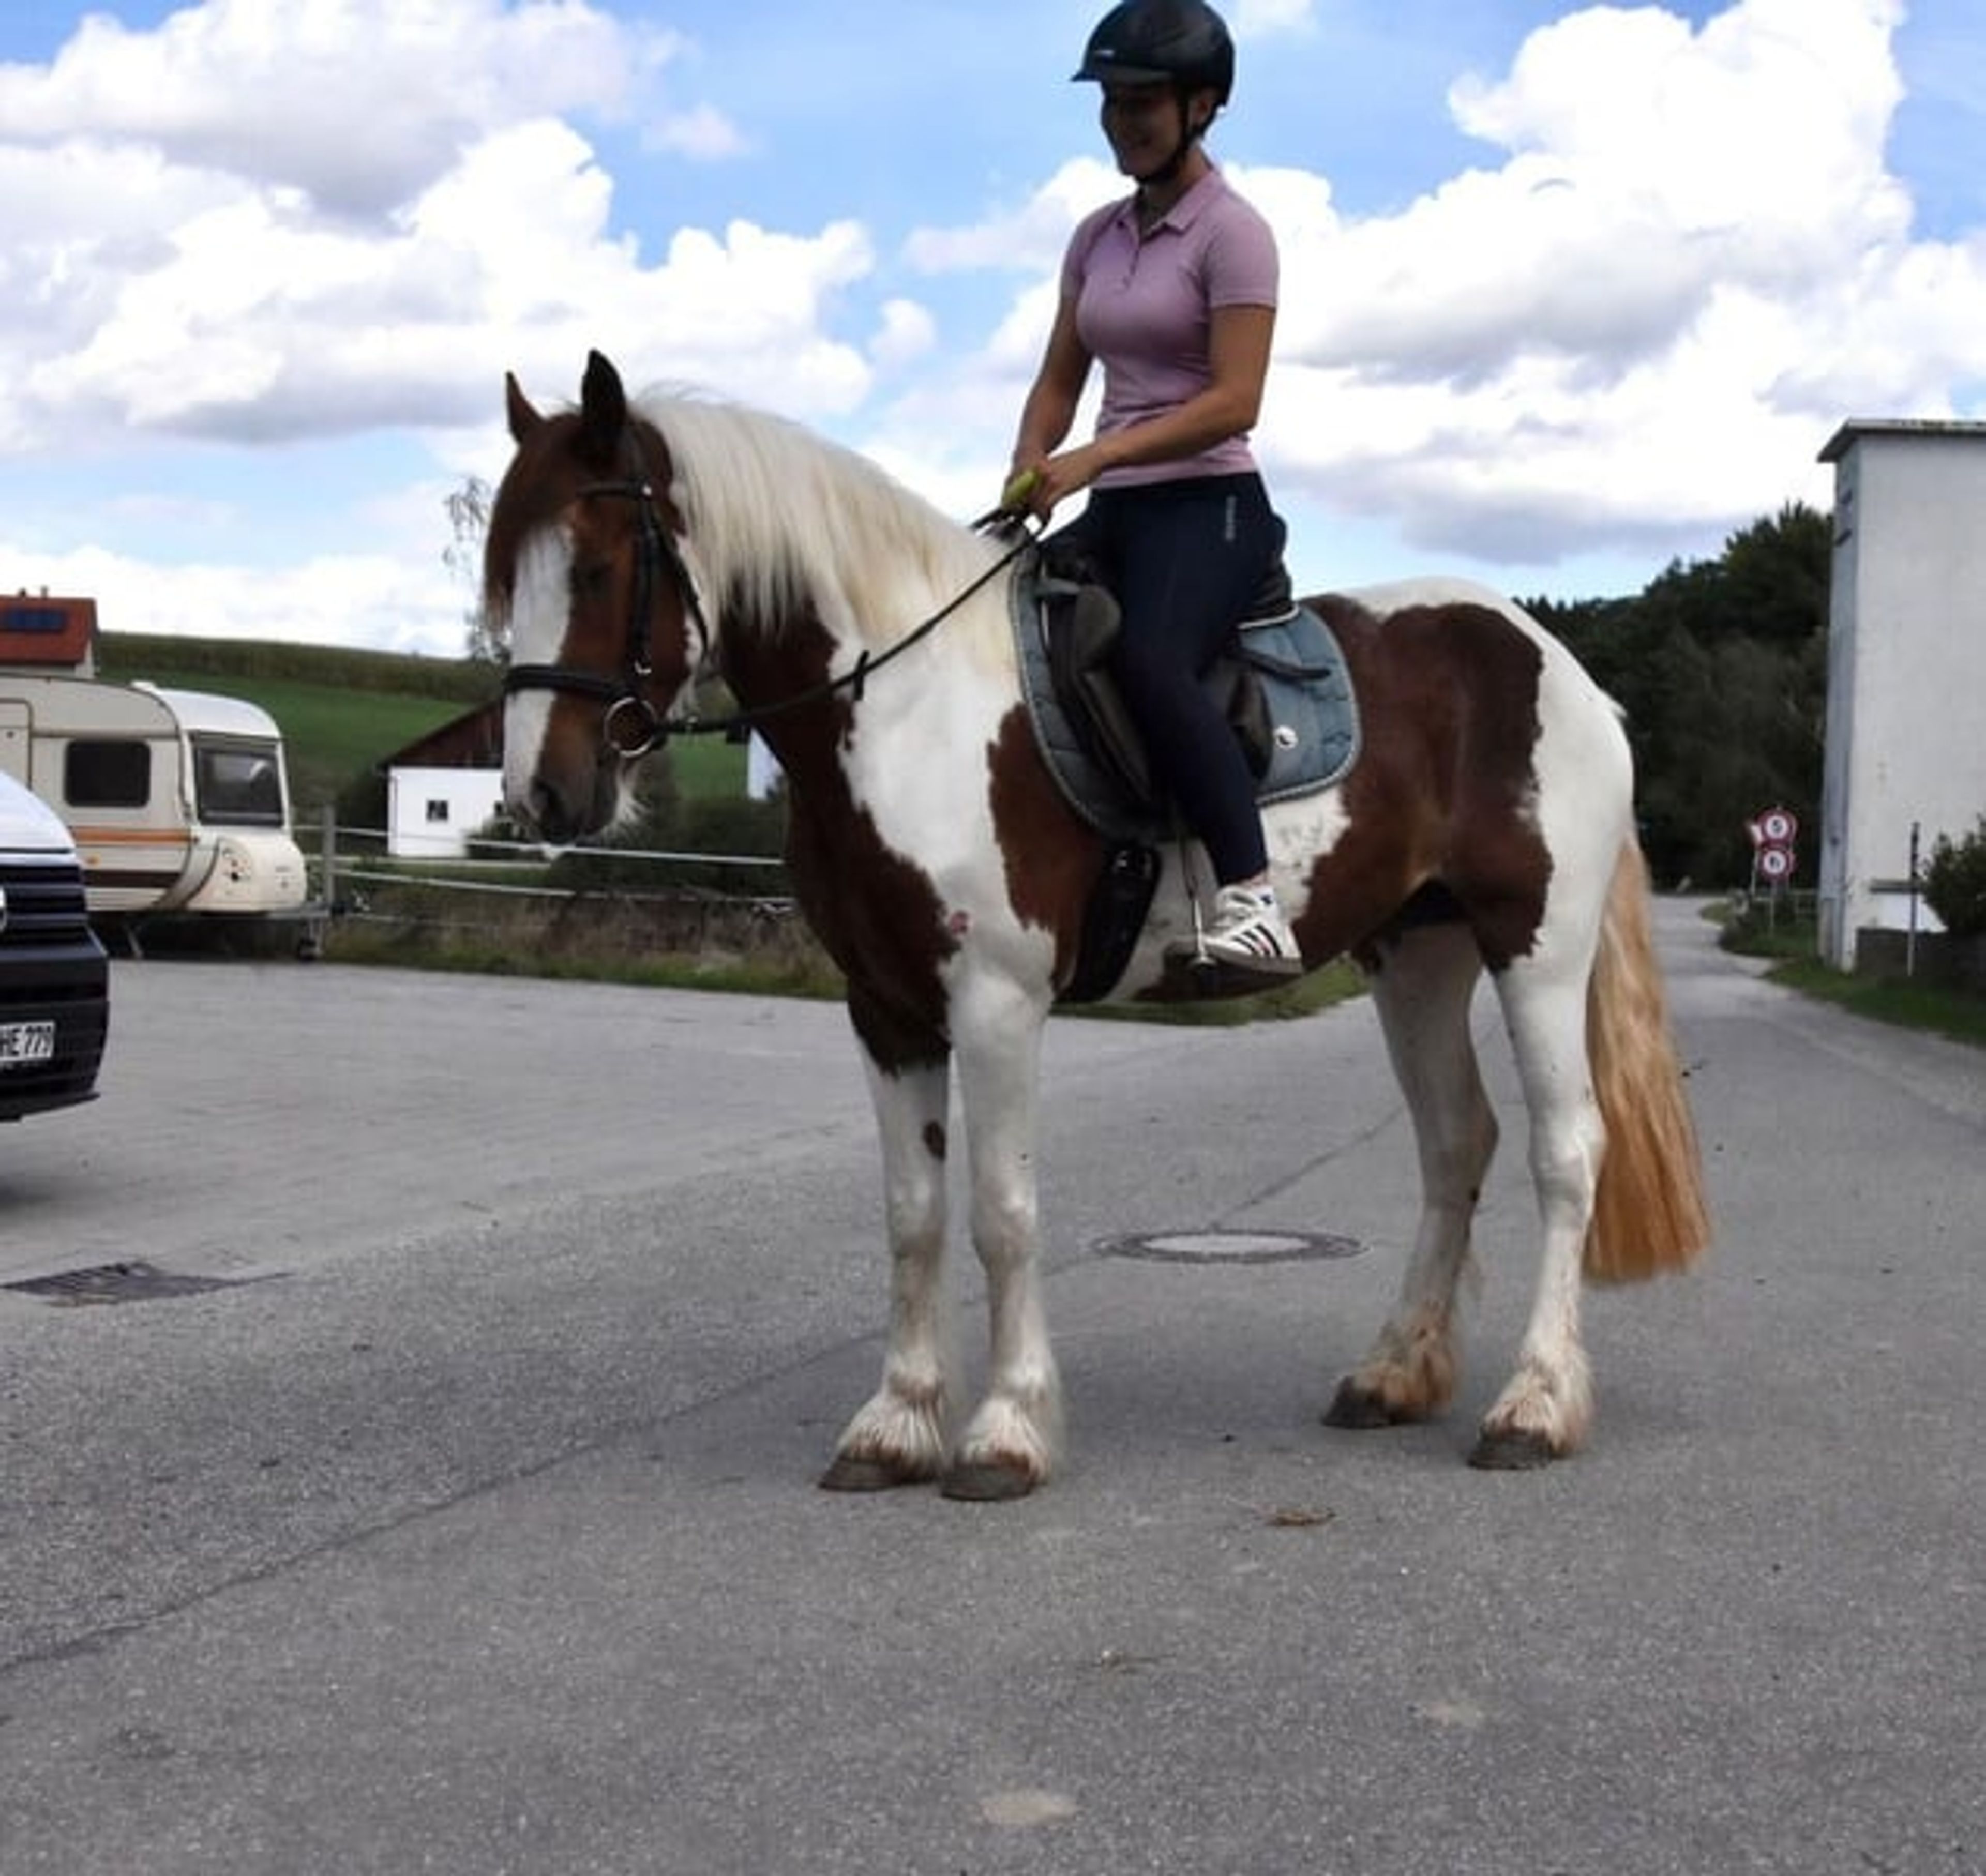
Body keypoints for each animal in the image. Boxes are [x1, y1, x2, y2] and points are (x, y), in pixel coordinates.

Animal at [488, 348, 1710, 1499]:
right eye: (508, 580)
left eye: (598, 567)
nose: (542, 794)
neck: (905, 708)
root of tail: (1559, 665)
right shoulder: (885, 1007)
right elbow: (913, 1214)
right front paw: (895, 1425)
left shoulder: (995, 1000)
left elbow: (1003, 1210)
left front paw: (1005, 1431)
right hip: (1416, 955)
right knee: (1457, 1142)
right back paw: (1394, 1372)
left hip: (1535, 949)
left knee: (1566, 1150)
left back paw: (1534, 1405)